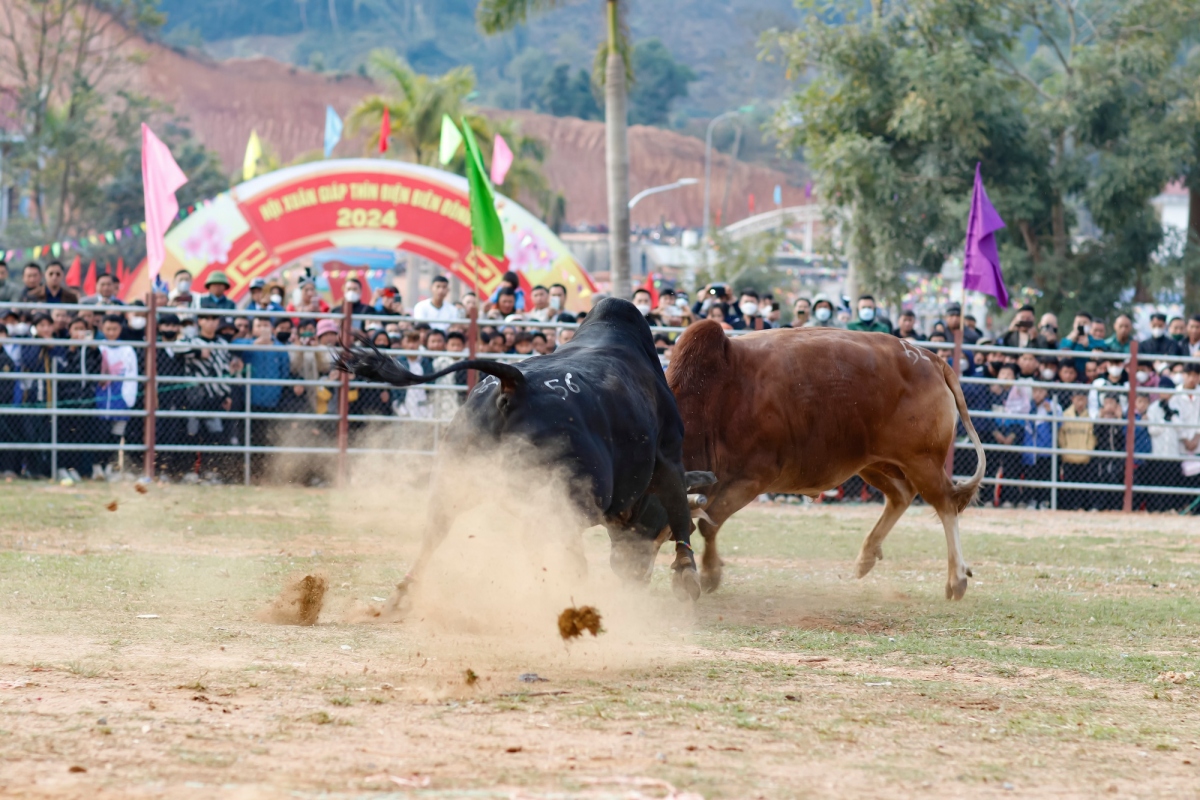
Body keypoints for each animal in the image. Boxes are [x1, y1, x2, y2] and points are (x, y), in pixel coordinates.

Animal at [333, 298, 705, 606]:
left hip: (459, 476)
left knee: (436, 530)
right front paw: (687, 573)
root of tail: (514, 384)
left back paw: (404, 594)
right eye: (660, 531)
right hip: (568, 494)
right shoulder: (670, 454)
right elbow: (679, 509)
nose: (637, 576)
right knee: (558, 547)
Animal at [667, 319, 984, 599]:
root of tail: (931, 358)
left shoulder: (752, 478)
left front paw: (709, 573)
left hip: (922, 462)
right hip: (873, 463)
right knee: (901, 495)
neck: (713, 400)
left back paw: (956, 579)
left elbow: (708, 523)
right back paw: (866, 557)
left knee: (946, 503)